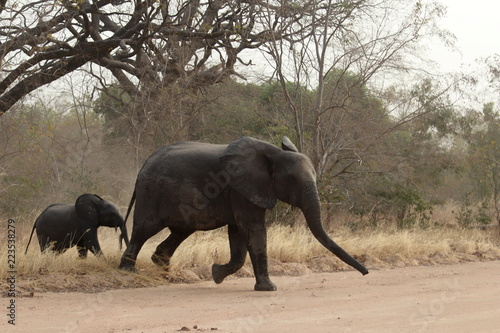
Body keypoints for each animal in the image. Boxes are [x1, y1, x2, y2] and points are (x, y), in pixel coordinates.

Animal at [118, 136, 368, 290]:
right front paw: (269, 289)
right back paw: (128, 271)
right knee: (144, 229)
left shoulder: (243, 191)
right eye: (291, 180)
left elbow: (238, 233)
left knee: (181, 231)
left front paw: (216, 274)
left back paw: (165, 271)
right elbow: (254, 230)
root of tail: (145, 162)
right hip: (151, 193)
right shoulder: (241, 187)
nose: (366, 273)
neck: (273, 154)